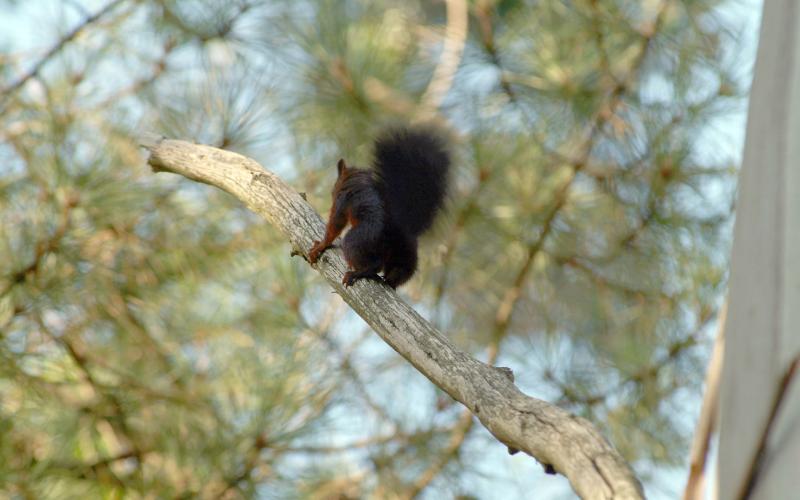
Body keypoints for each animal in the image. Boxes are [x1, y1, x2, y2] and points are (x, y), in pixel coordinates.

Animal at [308, 126, 450, 290]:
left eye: (334, 188)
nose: (331, 192)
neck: (357, 178)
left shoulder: (342, 201)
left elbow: (335, 224)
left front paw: (321, 245)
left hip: (358, 239)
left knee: (375, 265)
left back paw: (357, 273)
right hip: (405, 256)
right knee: (398, 272)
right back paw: (390, 282)